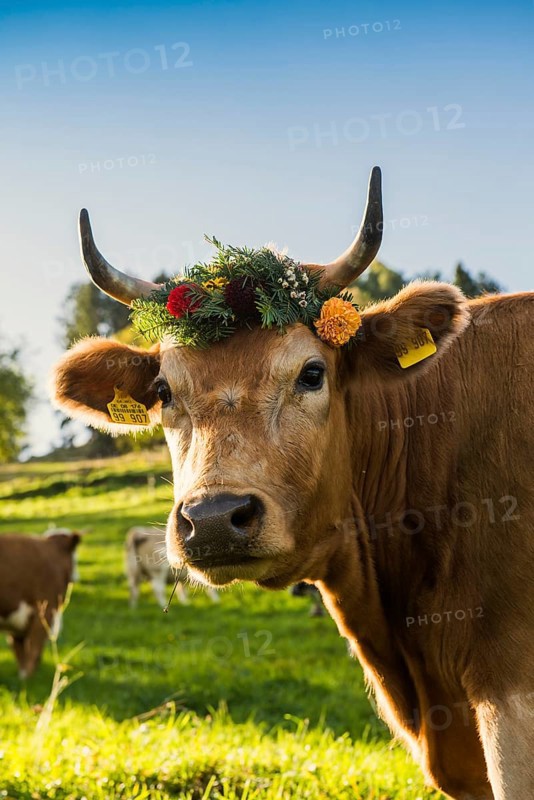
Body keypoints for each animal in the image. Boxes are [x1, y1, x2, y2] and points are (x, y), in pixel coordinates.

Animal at [0, 529, 80, 678]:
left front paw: (23, 676)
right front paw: (27, 677)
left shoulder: (18, 621)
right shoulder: (45, 610)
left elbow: (20, 649)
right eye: (74, 555)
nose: (77, 577)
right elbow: (34, 650)